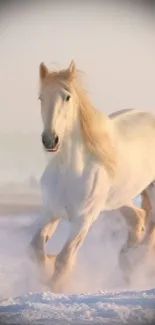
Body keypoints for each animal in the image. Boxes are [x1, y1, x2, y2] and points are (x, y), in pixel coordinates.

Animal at [29, 60, 155, 292]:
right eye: (41, 97)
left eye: (67, 97)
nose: (50, 140)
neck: (70, 171)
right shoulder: (51, 211)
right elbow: (35, 250)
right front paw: (45, 272)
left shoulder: (83, 220)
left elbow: (64, 259)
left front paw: (54, 288)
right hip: (120, 197)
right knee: (137, 218)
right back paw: (127, 261)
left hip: (151, 187)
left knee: (149, 223)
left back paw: (136, 262)